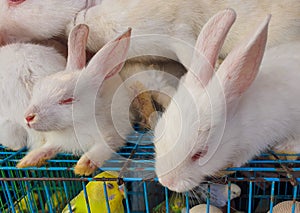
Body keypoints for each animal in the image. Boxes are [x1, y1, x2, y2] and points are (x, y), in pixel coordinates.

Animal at [18, 24, 132, 176]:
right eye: (37, 89)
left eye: (68, 100)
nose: (28, 117)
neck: (72, 127)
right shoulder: (55, 142)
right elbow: (46, 148)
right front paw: (27, 161)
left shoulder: (110, 137)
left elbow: (100, 150)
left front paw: (83, 167)